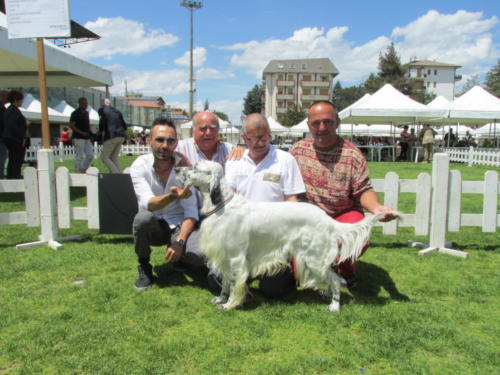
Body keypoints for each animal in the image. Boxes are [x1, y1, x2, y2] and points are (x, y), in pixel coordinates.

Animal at [176, 160, 390, 312]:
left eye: (195, 166)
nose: (177, 169)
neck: (222, 205)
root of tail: (327, 219)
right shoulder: (223, 257)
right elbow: (225, 283)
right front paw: (221, 298)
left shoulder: (236, 258)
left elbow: (235, 285)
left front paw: (229, 304)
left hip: (314, 259)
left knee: (336, 280)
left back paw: (334, 306)